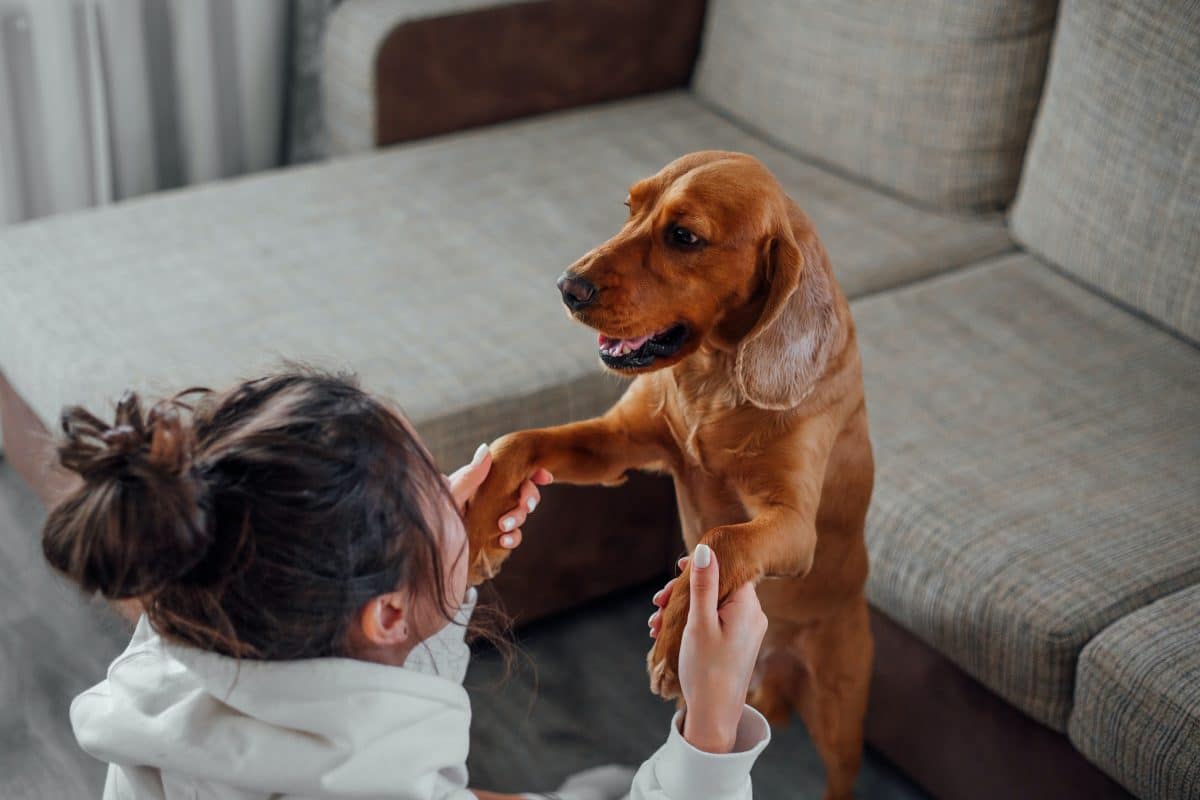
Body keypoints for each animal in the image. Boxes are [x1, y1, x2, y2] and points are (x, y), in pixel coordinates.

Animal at [465, 151, 873, 800]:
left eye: (684, 237)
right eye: (629, 208)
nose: (566, 287)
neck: (714, 376)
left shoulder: (793, 524)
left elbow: (723, 540)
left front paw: (677, 633)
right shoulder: (618, 445)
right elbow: (519, 441)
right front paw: (481, 525)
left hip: (840, 711)